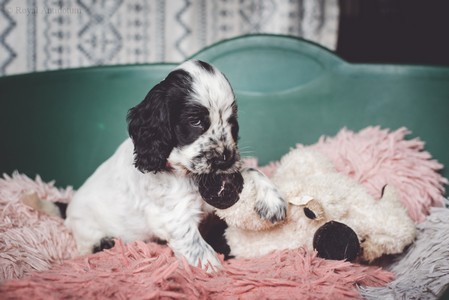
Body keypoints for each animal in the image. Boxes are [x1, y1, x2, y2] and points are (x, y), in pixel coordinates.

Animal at [65, 59, 286, 270]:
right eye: (195, 121)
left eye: (232, 121)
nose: (226, 158)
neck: (183, 173)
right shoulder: (172, 216)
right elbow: (195, 243)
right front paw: (212, 269)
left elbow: (249, 169)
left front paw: (272, 200)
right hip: (85, 227)